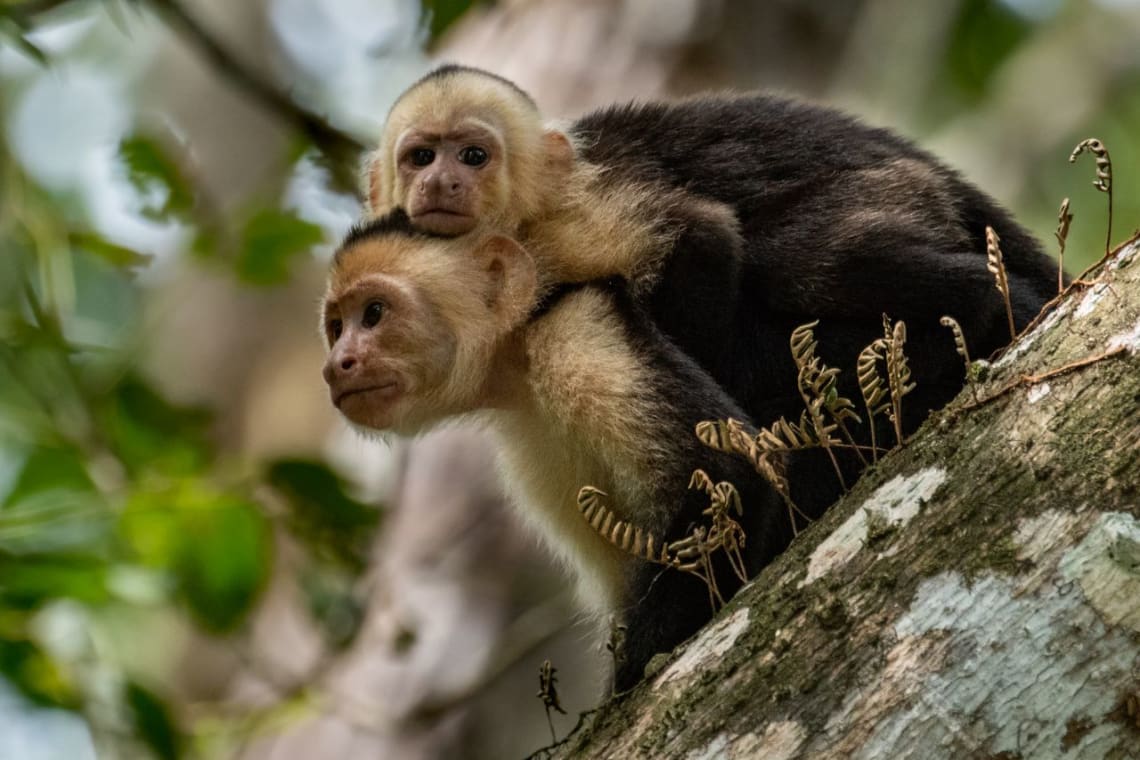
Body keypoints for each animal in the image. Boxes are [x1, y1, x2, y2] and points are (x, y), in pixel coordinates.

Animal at [321, 210, 788, 692]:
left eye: (374, 314)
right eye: (336, 329)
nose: (335, 366)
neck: (516, 358)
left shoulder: (575, 330)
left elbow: (728, 476)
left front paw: (627, 680)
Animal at [365, 65, 1062, 519]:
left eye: (473, 156)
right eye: (421, 157)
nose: (443, 183)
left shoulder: (569, 224)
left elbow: (705, 240)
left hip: (899, 191)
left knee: (795, 260)